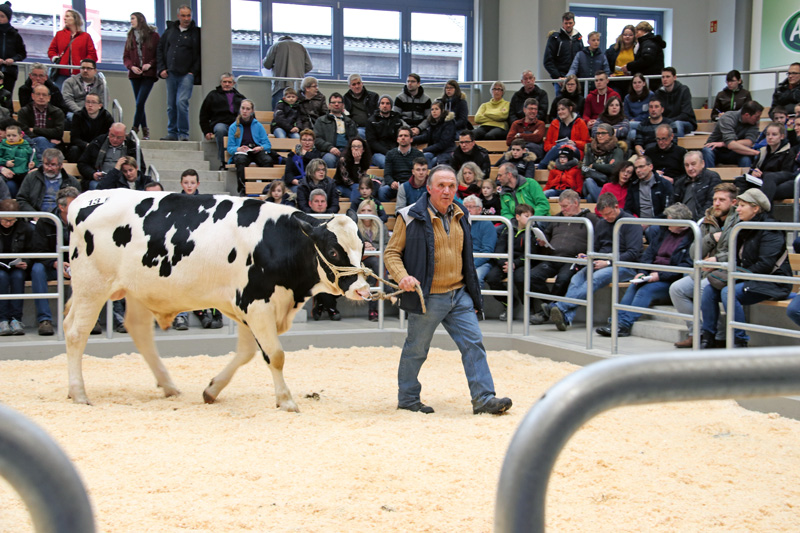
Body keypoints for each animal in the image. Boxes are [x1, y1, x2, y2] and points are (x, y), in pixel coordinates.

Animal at [65, 190, 372, 408]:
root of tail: (87, 198)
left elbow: (247, 353)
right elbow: (275, 355)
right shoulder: (256, 303)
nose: (362, 290)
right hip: (91, 286)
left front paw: (211, 390)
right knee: (76, 332)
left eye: (362, 247)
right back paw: (78, 393)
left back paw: (167, 385)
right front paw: (286, 400)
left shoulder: (248, 308)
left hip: (138, 290)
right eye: (333, 251)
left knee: (137, 331)